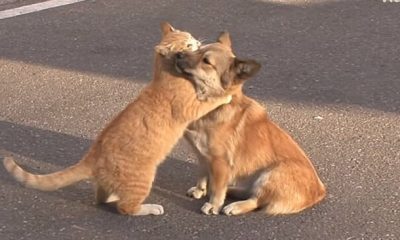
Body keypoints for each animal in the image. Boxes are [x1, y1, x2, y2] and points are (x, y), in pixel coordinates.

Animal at [2, 23, 231, 217]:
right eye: (189, 45)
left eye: (192, 39)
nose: (199, 42)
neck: (164, 72)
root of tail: (92, 156)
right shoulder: (192, 107)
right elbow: (212, 100)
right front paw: (225, 95)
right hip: (143, 179)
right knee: (126, 208)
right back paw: (150, 208)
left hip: (108, 184)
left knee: (101, 198)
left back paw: (111, 197)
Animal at [177, 32, 326, 216]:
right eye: (198, 49)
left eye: (206, 61)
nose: (178, 54)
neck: (215, 106)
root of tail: (320, 191)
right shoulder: (202, 156)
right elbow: (202, 176)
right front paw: (200, 190)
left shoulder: (220, 162)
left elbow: (218, 189)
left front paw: (213, 204)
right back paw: (231, 191)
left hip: (271, 174)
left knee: (257, 200)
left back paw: (235, 206)